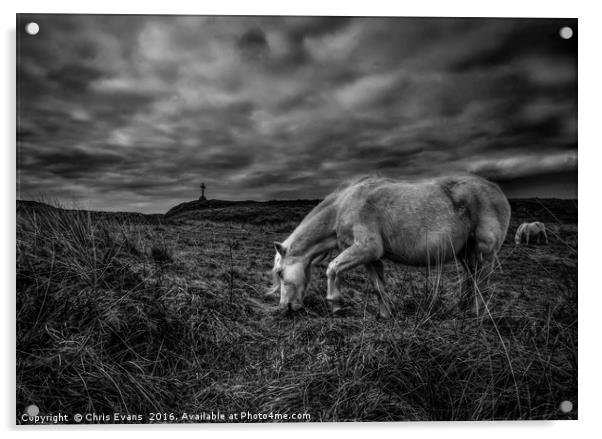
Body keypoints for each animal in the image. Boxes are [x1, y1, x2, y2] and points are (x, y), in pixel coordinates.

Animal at [270, 176, 508, 320]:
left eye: (280, 273)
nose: (285, 307)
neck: (343, 207)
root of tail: (497, 190)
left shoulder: (366, 248)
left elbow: (333, 268)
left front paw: (335, 303)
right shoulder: (370, 257)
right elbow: (378, 286)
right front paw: (386, 315)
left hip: (484, 253)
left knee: (481, 283)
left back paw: (475, 314)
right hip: (467, 254)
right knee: (470, 280)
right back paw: (462, 310)